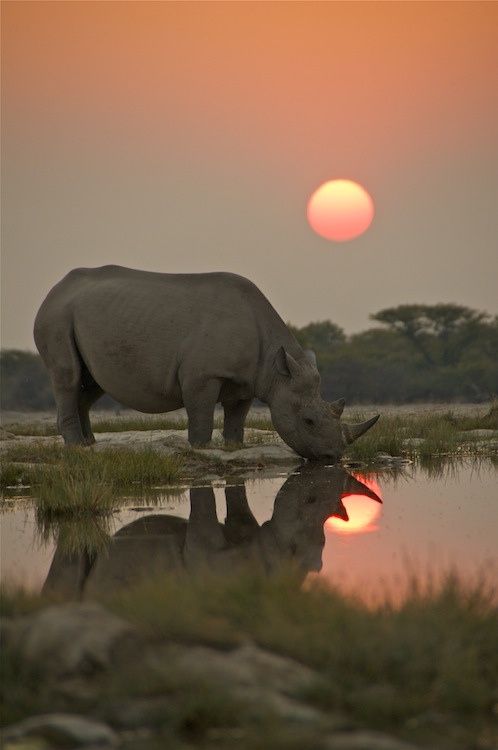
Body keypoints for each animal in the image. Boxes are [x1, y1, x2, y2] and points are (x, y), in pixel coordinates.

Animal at [34, 265, 378, 459]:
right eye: (308, 421)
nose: (334, 456)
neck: (275, 367)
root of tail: (54, 289)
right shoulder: (202, 375)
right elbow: (200, 416)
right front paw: (201, 450)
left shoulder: (249, 380)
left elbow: (237, 419)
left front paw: (234, 449)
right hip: (56, 316)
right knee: (68, 378)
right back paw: (77, 449)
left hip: (81, 317)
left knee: (92, 383)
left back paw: (90, 445)